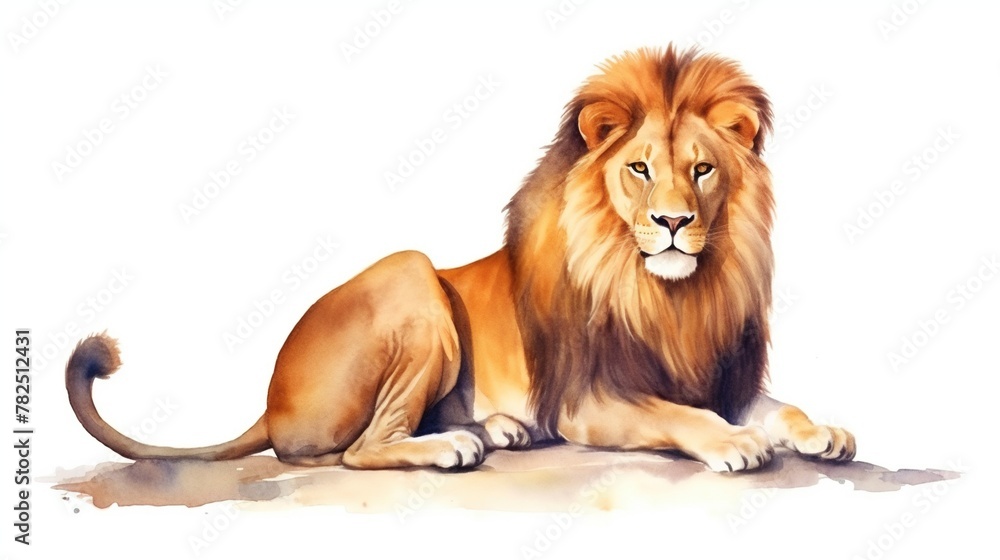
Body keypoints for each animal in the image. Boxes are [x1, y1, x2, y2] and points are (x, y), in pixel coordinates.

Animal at [66, 46, 855, 473]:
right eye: (638, 169)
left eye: (701, 170)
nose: (672, 223)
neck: (670, 293)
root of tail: (269, 399)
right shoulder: (589, 400)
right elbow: (683, 417)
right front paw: (735, 442)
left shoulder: (724, 375)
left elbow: (780, 407)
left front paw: (825, 433)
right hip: (414, 278)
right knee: (355, 449)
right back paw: (452, 446)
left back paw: (494, 428)